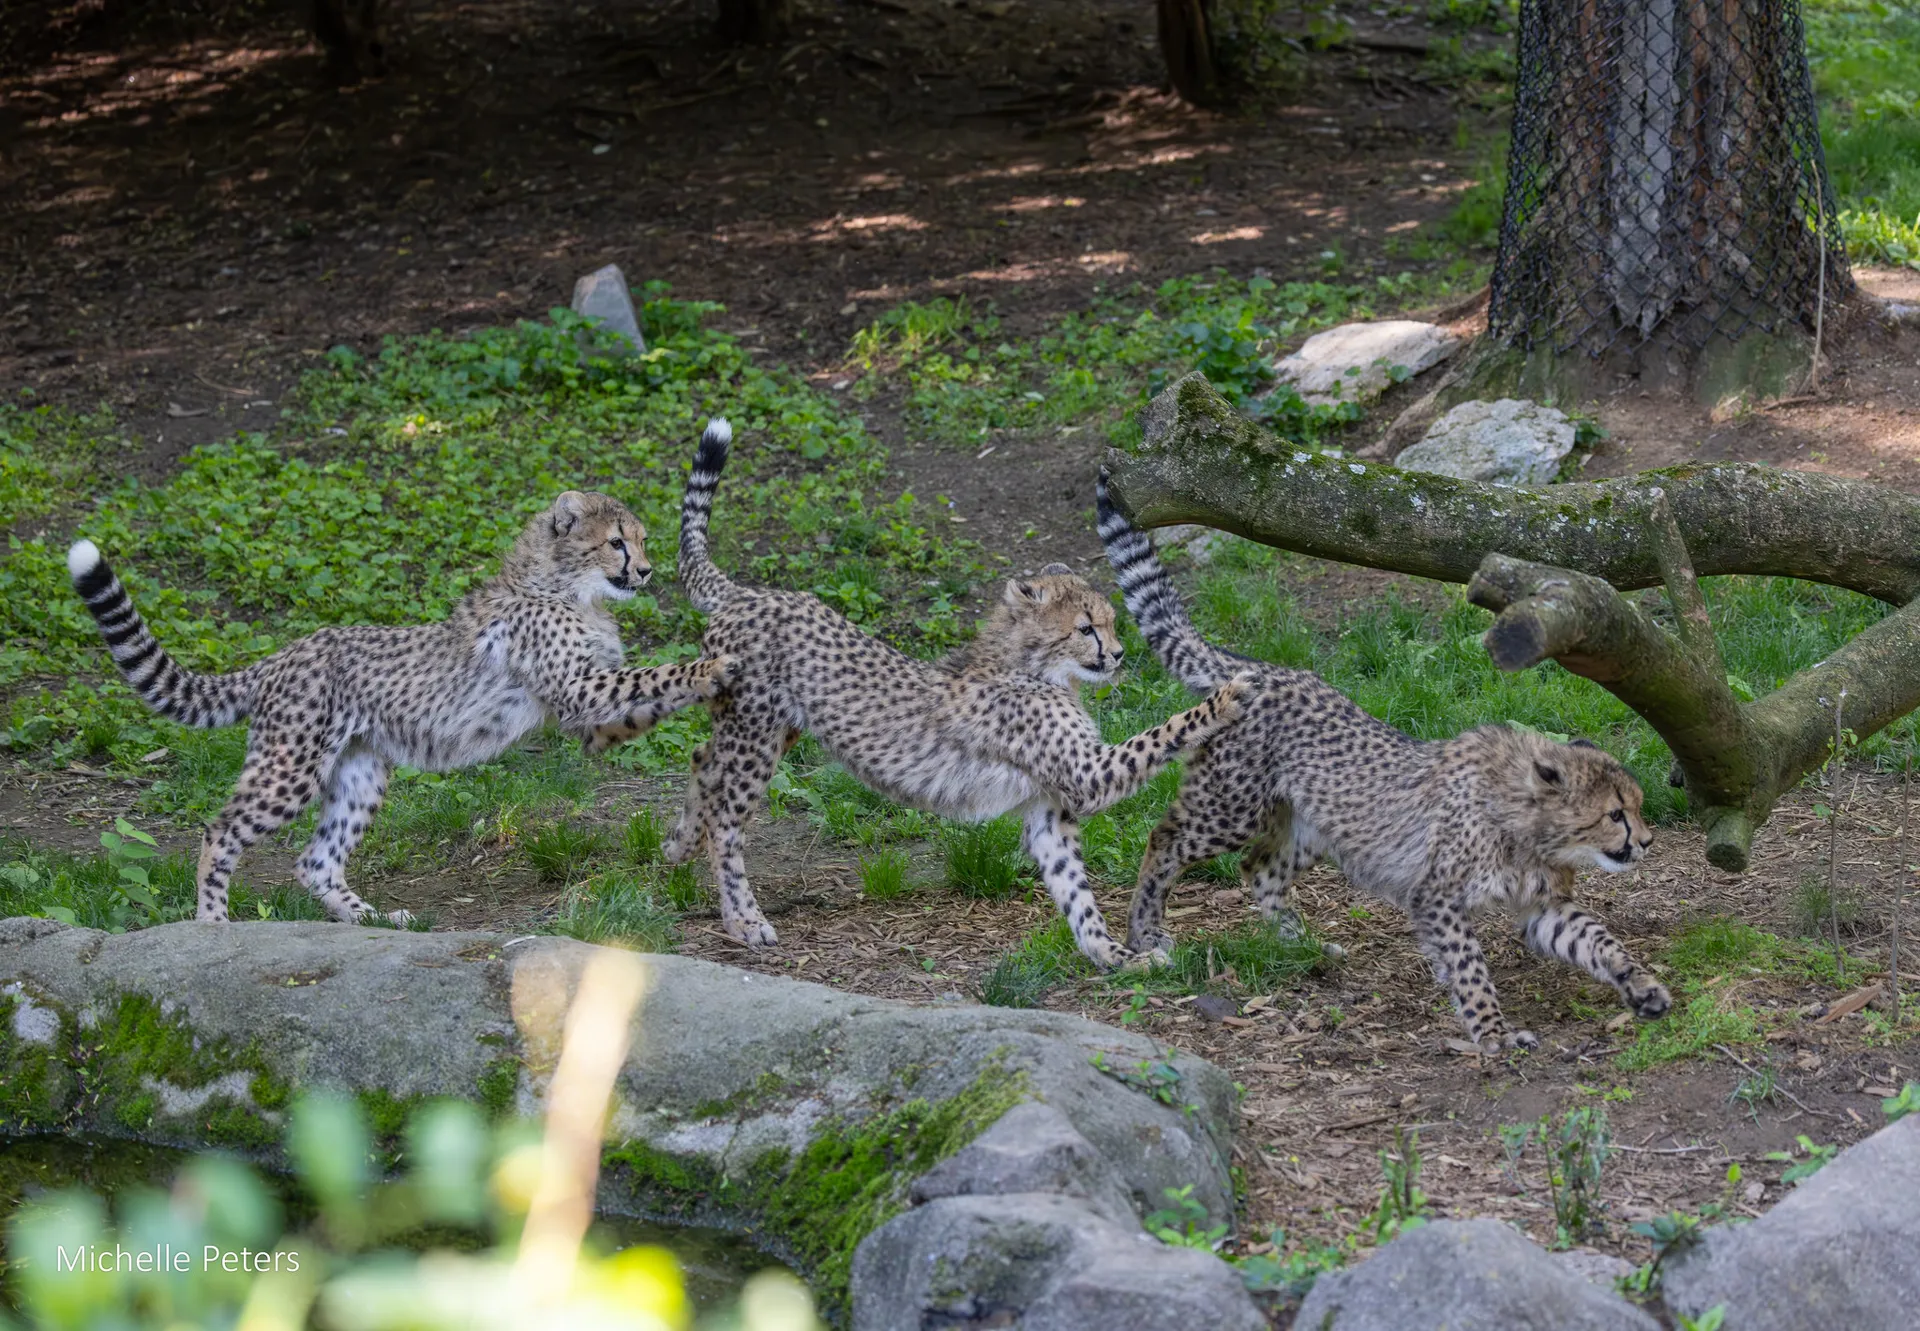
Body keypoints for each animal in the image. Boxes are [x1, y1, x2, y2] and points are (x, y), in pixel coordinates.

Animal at [68, 490, 733, 925]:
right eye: (616, 542)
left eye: (642, 541)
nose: (645, 570)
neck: (571, 589)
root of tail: (284, 654)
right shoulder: (578, 687)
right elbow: (655, 675)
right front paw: (710, 667)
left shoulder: (582, 709)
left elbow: (642, 699)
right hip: (291, 768)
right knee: (220, 829)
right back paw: (212, 922)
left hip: (360, 773)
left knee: (315, 860)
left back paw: (371, 919)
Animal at [649, 419, 1254, 968]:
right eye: (1087, 628)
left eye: (1110, 621)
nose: (1120, 655)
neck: (1034, 667)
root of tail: (748, 594)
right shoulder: (1085, 775)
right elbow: (1159, 734)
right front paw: (1224, 698)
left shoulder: (1049, 807)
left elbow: (1075, 890)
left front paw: (1112, 954)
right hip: (755, 734)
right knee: (727, 823)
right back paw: (743, 919)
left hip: (771, 728)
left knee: (702, 758)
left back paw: (677, 845)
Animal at [1096, 469, 1671, 1050]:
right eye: (1615, 814)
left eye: (1637, 807)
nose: (1646, 841)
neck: (1526, 821)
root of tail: (1264, 670)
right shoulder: (1438, 899)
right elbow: (1470, 968)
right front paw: (1492, 1032)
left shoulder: (1542, 904)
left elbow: (1598, 938)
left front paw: (1641, 985)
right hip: (1233, 810)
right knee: (1165, 839)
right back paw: (1146, 932)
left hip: (1314, 825)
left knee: (1259, 867)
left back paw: (1300, 945)